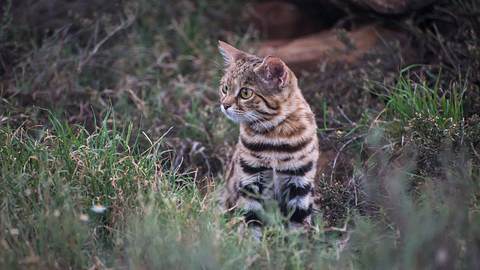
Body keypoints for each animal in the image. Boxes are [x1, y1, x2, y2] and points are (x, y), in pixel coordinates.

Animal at [218, 40, 318, 236]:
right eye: (224, 88)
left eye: (245, 93)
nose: (224, 105)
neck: (274, 136)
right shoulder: (250, 180)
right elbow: (251, 223)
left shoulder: (300, 183)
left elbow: (299, 227)